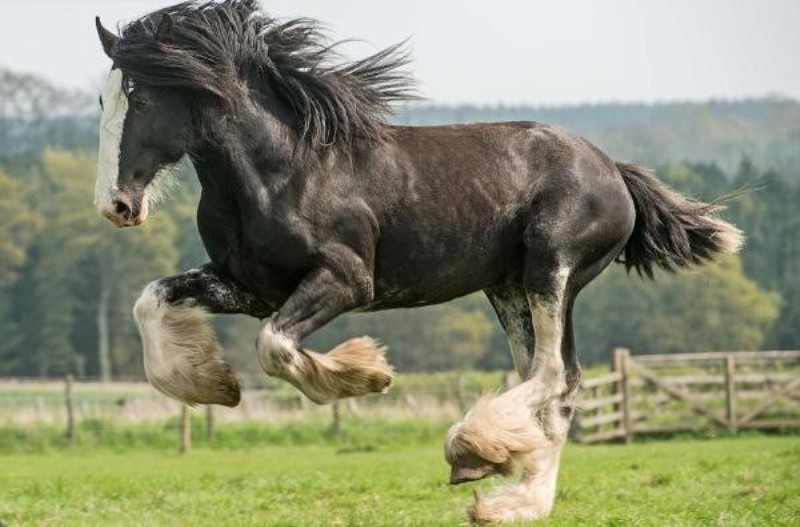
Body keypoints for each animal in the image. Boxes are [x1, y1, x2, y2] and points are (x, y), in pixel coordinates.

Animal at [94, 2, 744, 524]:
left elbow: (276, 347)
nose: (115, 205)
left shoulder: (344, 280)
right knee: (555, 384)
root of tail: (613, 170)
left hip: (552, 270)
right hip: (508, 288)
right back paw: (513, 498)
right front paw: (212, 384)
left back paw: (473, 453)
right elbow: (150, 301)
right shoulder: (249, 286)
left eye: (142, 99)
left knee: (554, 374)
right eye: (103, 98)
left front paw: (364, 375)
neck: (281, 171)